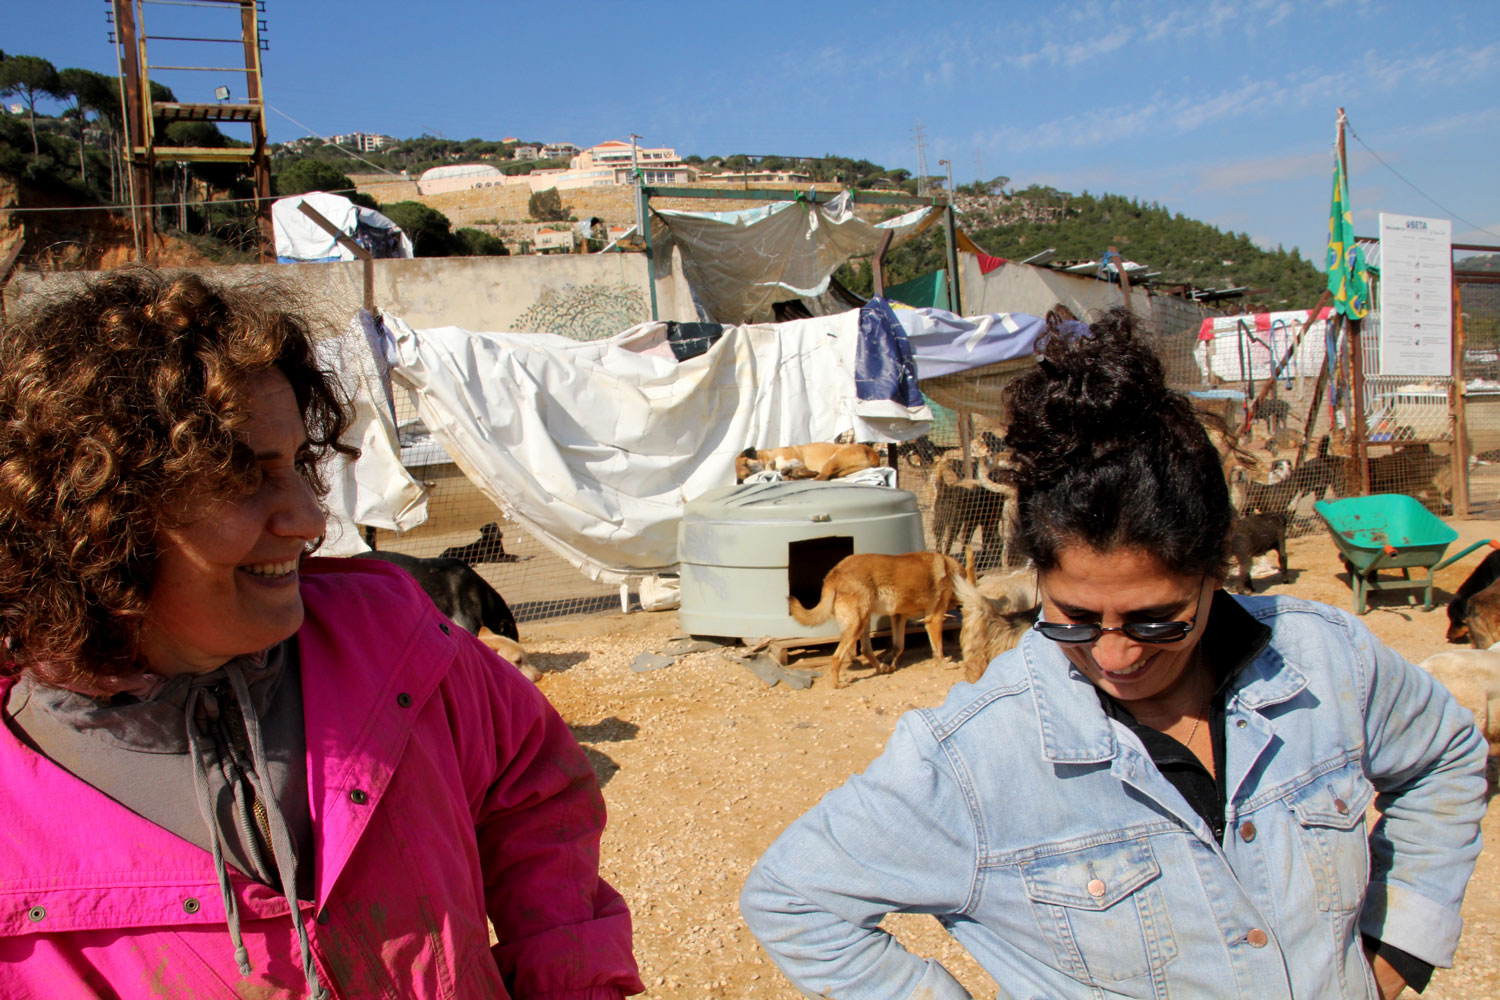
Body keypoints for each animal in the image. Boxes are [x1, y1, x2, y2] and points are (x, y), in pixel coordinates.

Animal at [786, 551, 960, 692]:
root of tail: (834, 574)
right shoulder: (934, 619)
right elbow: (938, 649)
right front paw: (944, 664)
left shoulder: (898, 616)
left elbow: (899, 646)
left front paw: (890, 661)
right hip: (857, 625)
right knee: (837, 657)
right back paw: (837, 684)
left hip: (864, 620)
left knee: (866, 650)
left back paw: (881, 668)